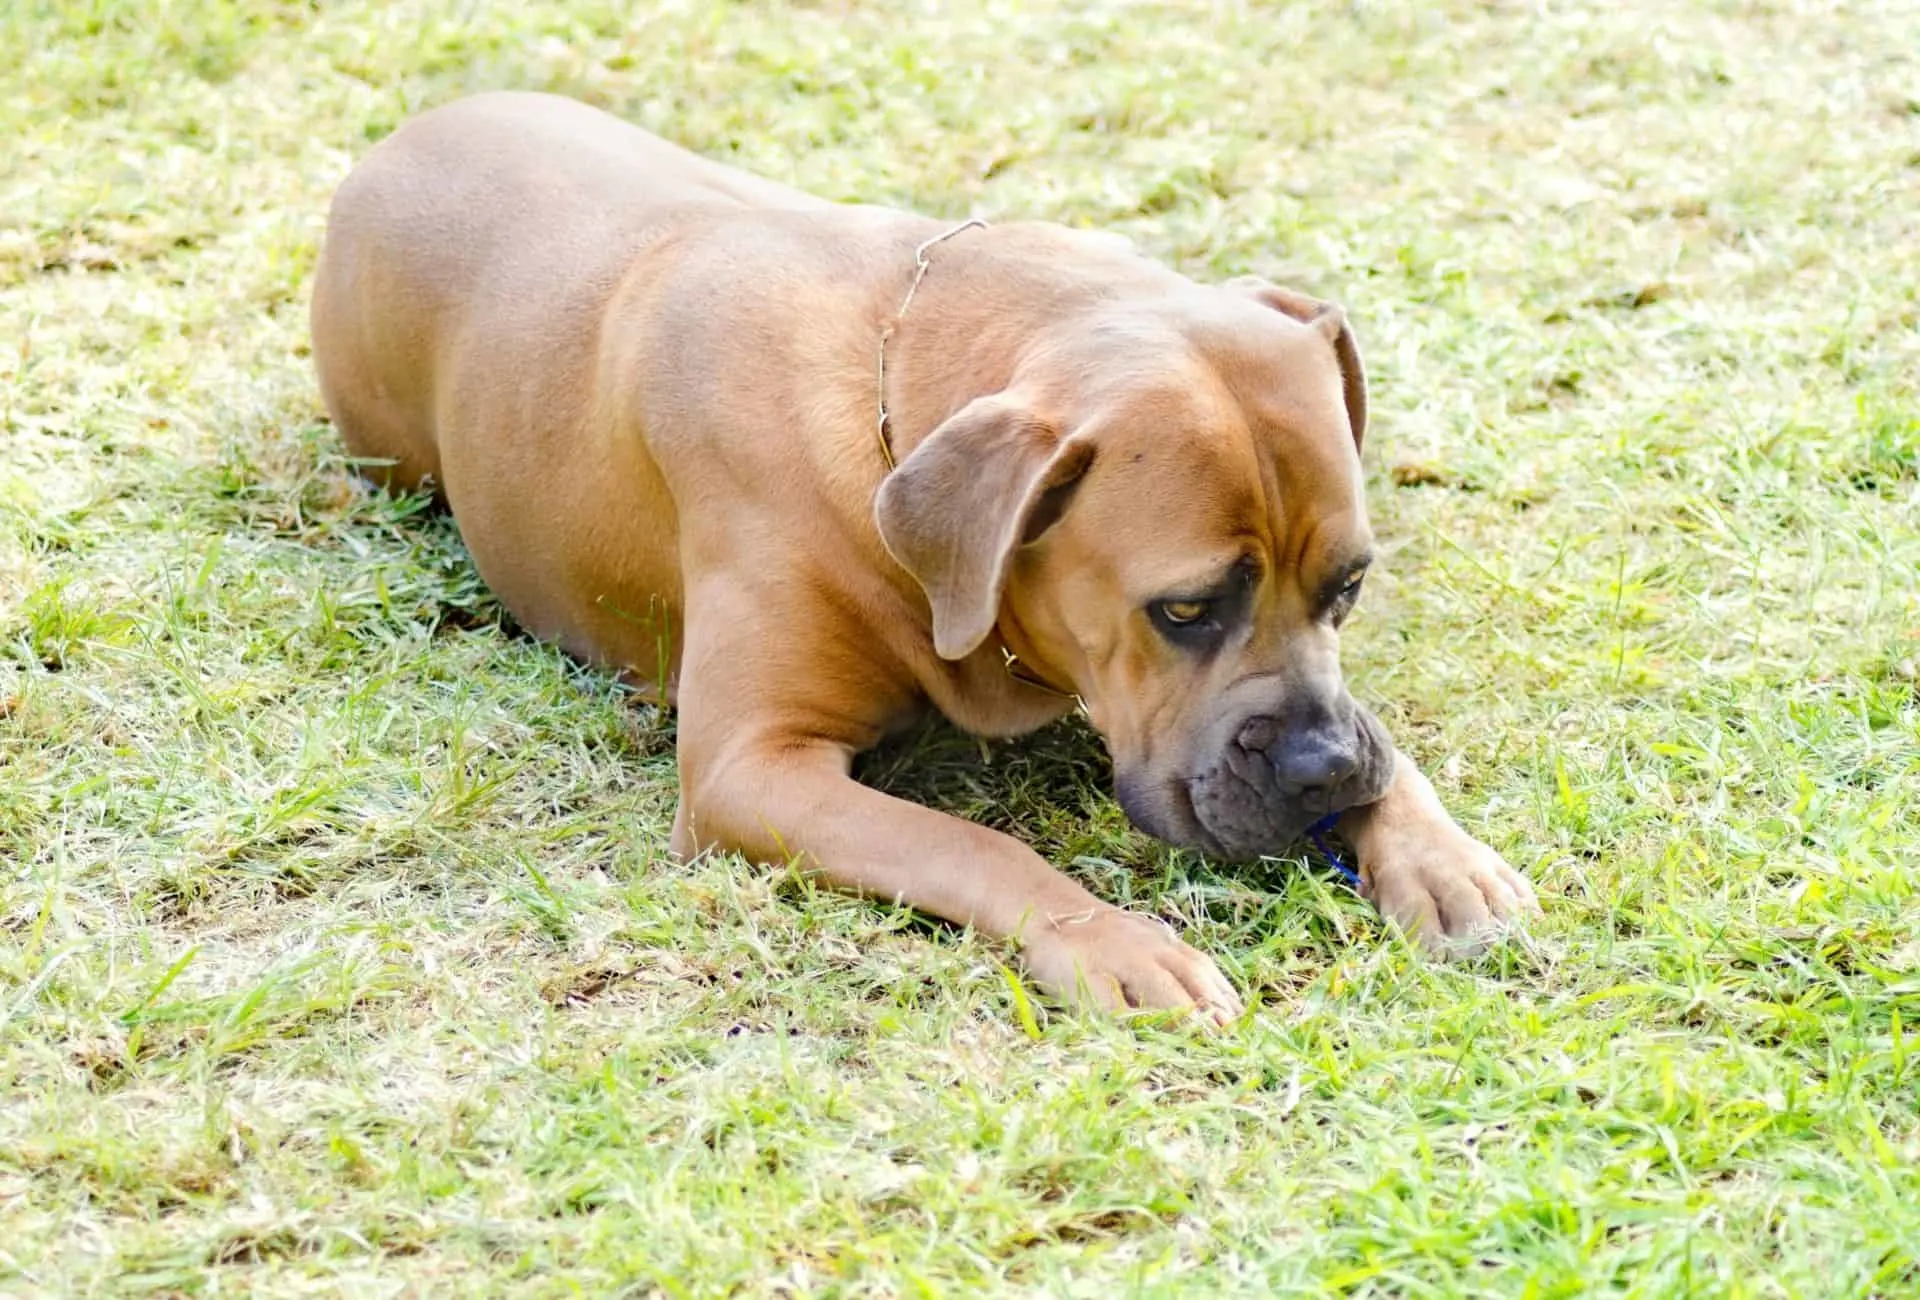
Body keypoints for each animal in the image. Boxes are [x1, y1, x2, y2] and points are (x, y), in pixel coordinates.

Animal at [314, 93, 1543, 1021]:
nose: (1324, 773)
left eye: (1351, 585)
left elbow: (1389, 739)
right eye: (1184, 611)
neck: (890, 394)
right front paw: (1112, 939)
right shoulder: (752, 769)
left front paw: (1438, 850)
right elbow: (971, 843)